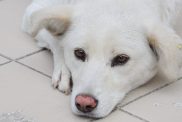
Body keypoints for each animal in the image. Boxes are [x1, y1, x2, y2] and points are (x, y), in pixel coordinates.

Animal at [21, 0, 182, 118]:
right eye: (79, 53)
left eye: (121, 59)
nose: (84, 103)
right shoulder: (34, 12)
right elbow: (55, 39)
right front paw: (63, 72)